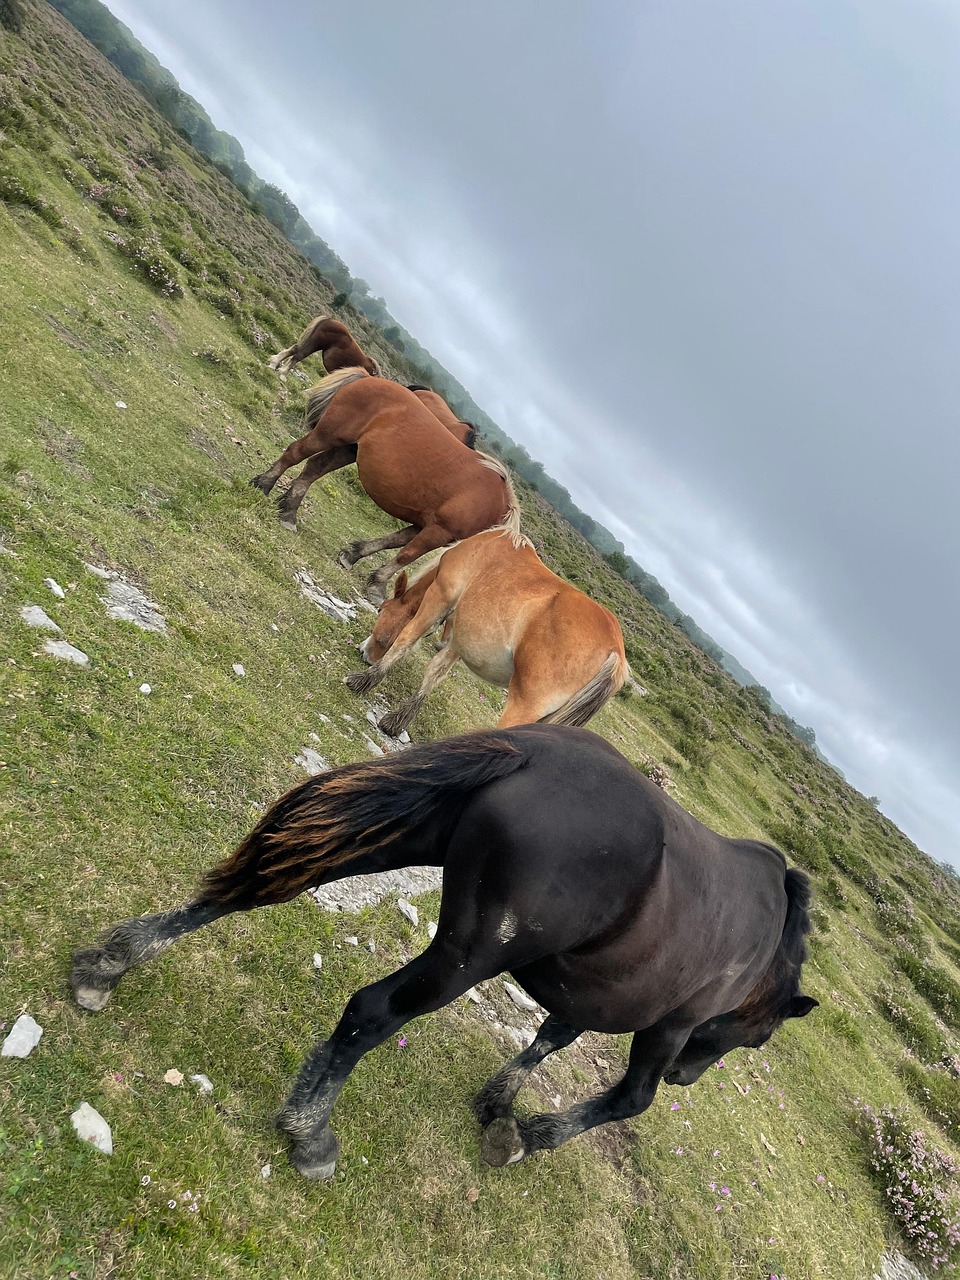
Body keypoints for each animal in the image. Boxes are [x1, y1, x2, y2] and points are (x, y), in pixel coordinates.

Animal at [70, 723, 818, 1182]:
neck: (762, 938)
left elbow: (551, 1036)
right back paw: (310, 1132)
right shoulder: (669, 1028)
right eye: (753, 1038)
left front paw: (499, 1100)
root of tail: (535, 752)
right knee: (372, 1012)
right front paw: (525, 1136)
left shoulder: (591, 995)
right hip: (469, 957)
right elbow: (628, 1099)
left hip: (386, 842)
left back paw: (112, 962)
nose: (691, 1078)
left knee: (251, 888)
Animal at [251, 368, 521, 602]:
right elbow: (406, 555)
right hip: (327, 436)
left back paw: (289, 513)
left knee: (313, 470)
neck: (493, 502)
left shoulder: (423, 525)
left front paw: (353, 555)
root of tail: (369, 379)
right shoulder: (438, 530)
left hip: (347, 450)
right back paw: (264, 485)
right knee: (294, 454)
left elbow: (393, 541)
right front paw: (378, 586)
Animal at [345, 529, 628, 736]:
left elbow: (405, 640)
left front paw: (363, 680)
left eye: (381, 609)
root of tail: (614, 649)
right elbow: (435, 672)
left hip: (521, 709)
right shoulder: (460, 640)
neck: (482, 547)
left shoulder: (438, 599)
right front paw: (398, 721)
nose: (363, 651)